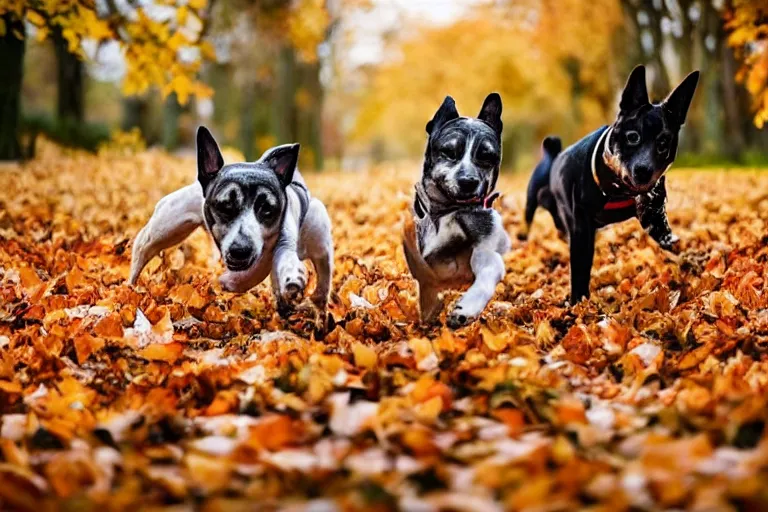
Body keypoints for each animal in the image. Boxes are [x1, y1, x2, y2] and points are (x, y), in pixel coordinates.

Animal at [128, 128, 332, 336]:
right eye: (225, 205)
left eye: (267, 208)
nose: (240, 250)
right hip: (164, 229)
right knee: (142, 250)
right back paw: (130, 289)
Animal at [402, 94, 510, 328]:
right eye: (449, 152)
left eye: (486, 156)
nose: (468, 181)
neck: (450, 210)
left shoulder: (481, 251)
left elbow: (489, 269)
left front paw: (466, 308)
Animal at [520, 65, 696, 302]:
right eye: (632, 137)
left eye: (663, 144)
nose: (644, 170)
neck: (619, 189)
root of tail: (552, 156)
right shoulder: (581, 226)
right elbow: (580, 266)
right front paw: (578, 301)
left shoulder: (654, 215)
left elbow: (667, 241)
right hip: (534, 204)